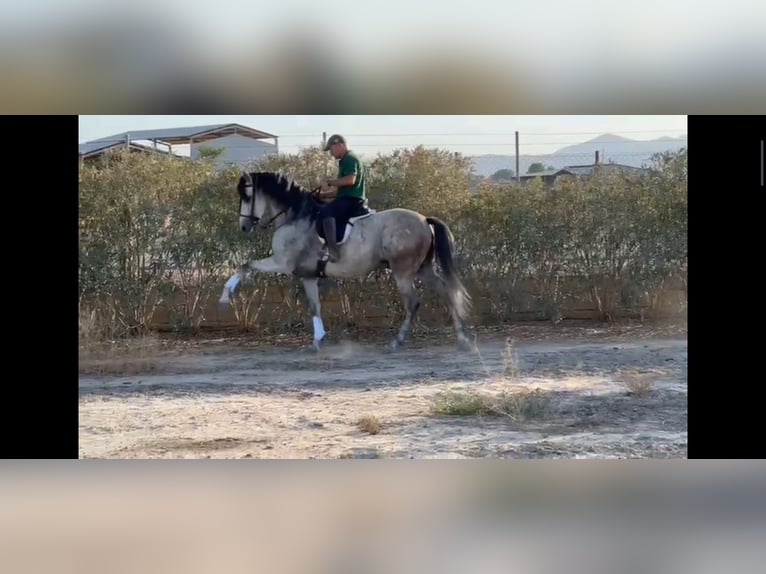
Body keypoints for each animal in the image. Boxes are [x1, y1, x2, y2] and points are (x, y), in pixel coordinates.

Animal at [219, 171, 474, 352]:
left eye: (247, 196)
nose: (244, 226)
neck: (295, 216)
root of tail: (423, 219)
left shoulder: (282, 263)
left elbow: (246, 265)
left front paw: (225, 295)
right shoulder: (308, 275)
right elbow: (314, 306)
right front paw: (317, 340)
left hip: (403, 270)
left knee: (412, 302)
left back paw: (396, 342)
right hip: (422, 268)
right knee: (445, 291)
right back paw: (462, 339)